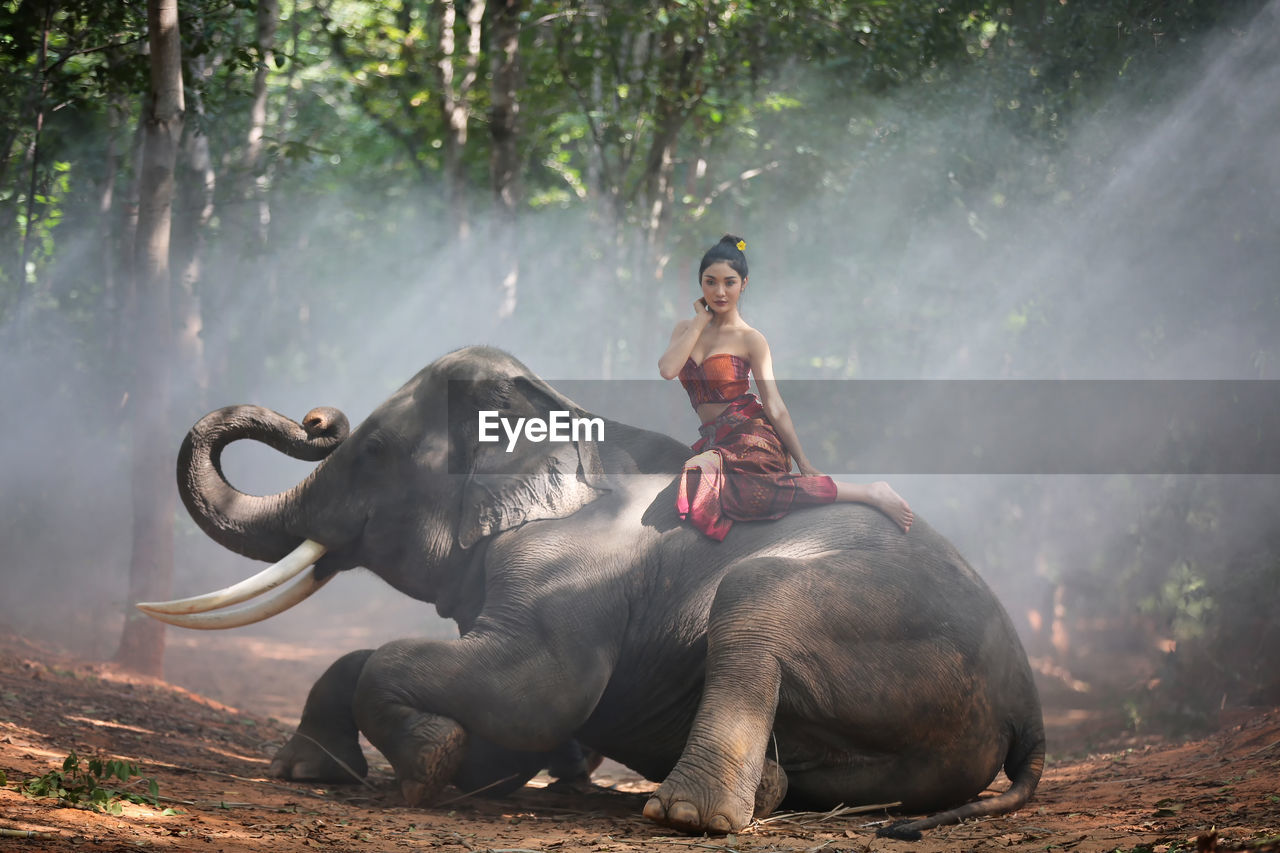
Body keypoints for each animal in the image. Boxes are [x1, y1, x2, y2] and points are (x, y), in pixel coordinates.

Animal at [142, 343, 1039, 835]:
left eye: (368, 455)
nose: (317, 418)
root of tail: (1026, 698)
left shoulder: (572, 575)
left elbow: (535, 689)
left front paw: (430, 765)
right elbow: (502, 720)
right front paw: (313, 772)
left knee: (753, 603)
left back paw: (685, 815)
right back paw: (768, 789)